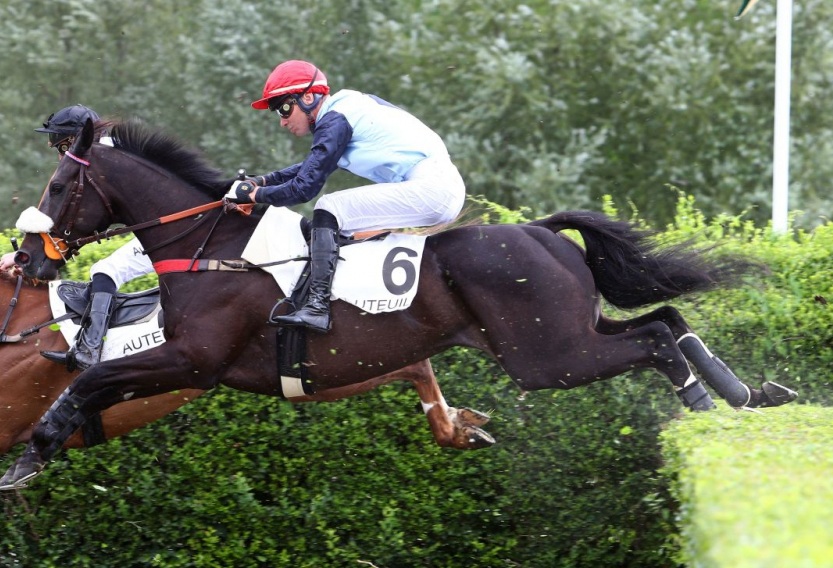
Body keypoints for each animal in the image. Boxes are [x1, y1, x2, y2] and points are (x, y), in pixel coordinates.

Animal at [0, 118, 796, 488]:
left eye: (58, 187)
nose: (26, 257)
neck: (207, 245)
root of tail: (541, 230)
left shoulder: (193, 359)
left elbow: (90, 380)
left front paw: (34, 452)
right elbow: (93, 381)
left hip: (547, 356)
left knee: (653, 340)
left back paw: (706, 401)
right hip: (568, 331)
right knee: (666, 321)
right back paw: (746, 393)